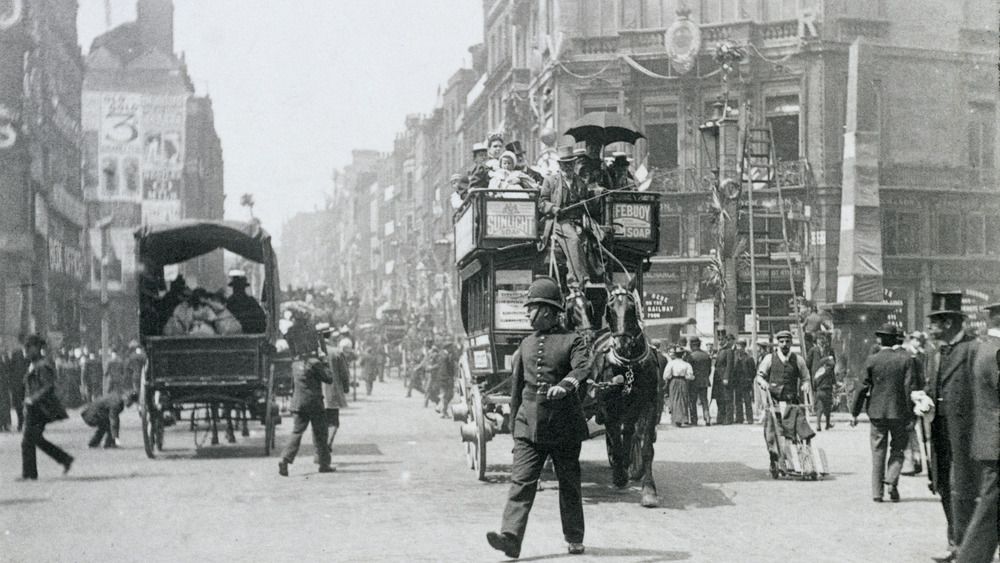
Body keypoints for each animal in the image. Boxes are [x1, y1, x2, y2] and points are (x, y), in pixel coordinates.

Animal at [588, 284, 660, 508]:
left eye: (631, 308)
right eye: (609, 310)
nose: (622, 345)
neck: (629, 365)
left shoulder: (648, 403)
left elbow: (646, 447)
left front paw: (649, 490)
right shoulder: (608, 407)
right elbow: (616, 441)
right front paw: (619, 476)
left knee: (629, 432)